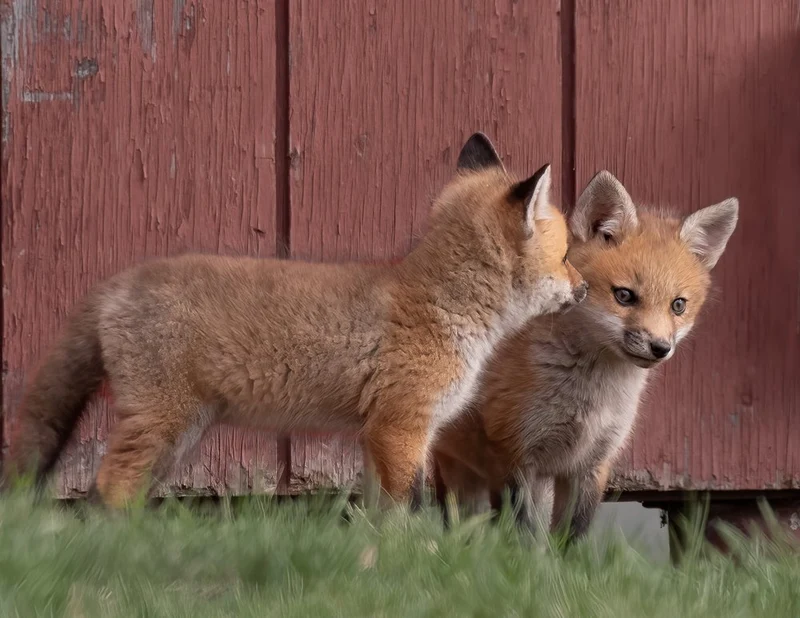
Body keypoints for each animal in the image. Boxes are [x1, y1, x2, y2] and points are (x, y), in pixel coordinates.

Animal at [3, 133, 588, 509]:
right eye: (565, 256)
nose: (584, 288)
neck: (443, 306)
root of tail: (118, 280)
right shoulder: (402, 427)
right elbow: (411, 513)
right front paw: (418, 567)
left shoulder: (375, 436)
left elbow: (378, 517)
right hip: (162, 424)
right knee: (108, 488)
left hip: (179, 435)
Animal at [431, 170, 739, 541]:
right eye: (624, 296)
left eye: (678, 305)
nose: (660, 347)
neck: (589, 399)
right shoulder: (515, 456)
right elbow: (524, 536)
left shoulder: (591, 465)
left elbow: (570, 539)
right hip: (458, 475)